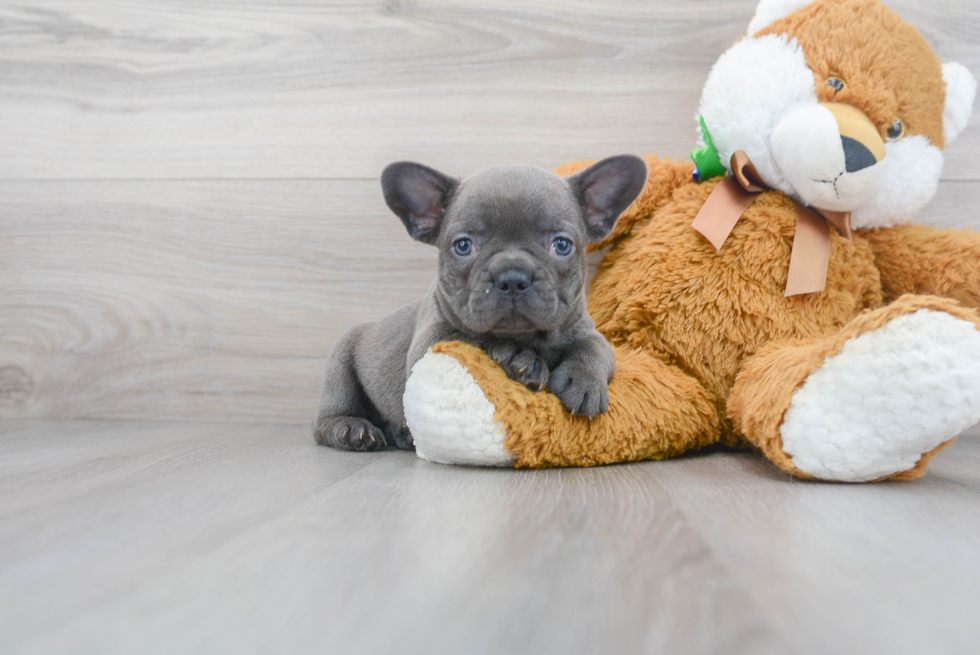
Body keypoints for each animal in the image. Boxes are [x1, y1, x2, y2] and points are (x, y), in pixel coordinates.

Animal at [316, 155, 652, 452]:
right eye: (464, 246)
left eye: (562, 245)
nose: (513, 277)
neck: (528, 336)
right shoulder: (431, 340)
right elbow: (472, 338)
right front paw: (520, 358)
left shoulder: (589, 332)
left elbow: (593, 349)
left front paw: (582, 381)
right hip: (340, 363)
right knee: (327, 419)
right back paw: (351, 428)